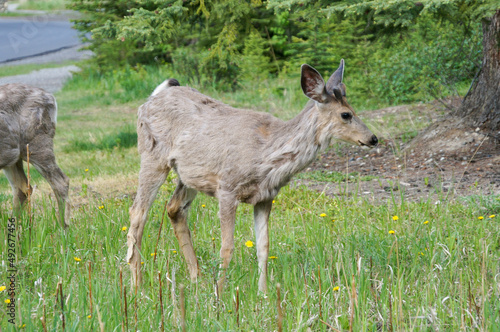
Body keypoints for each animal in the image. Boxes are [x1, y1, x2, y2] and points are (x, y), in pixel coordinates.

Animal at [0, 84, 71, 227]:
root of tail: (50, 97)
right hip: (12, 156)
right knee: (22, 188)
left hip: (37, 143)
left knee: (61, 182)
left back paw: (63, 227)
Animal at [127, 59, 376, 294]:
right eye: (346, 114)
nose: (373, 138)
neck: (266, 154)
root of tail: (153, 97)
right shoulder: (227, 187)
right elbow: (227, 247)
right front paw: (219, 294)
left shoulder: (266, 196)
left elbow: (263, 246)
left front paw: (263, 292)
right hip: (152, 155)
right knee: (138, 213)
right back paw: (137, 285)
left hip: (189, 175)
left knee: (174, 208)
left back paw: (196, 278)